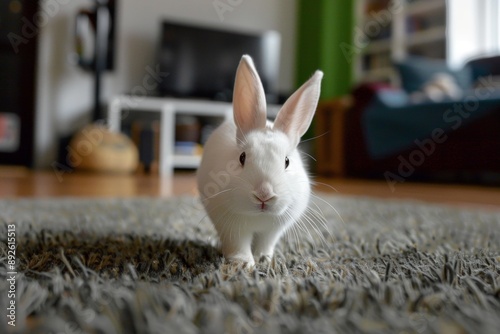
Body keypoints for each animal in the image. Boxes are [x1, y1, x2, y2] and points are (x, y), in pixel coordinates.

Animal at [197, 54, 322, 266]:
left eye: (287, 161)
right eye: (242, 157)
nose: (264, 194)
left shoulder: (272, 231)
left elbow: (265, 243)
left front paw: (264, 259)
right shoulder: (232, 227)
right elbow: (238, 244)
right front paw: (243, 264)